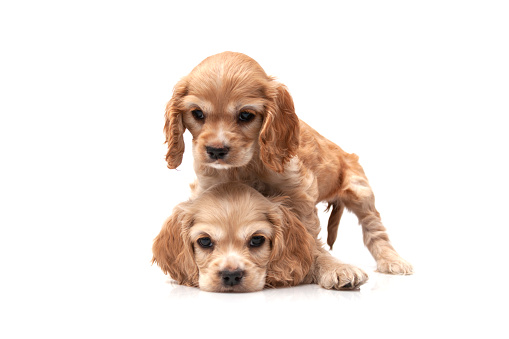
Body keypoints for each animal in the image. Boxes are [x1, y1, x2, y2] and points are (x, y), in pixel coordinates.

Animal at [165, 52, 410, 276]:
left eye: (245, 115)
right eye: (197, 113)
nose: (216, 150)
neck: (247, 166)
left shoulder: (298, 194)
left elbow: (309, 237)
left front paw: (331, 268)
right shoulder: (208, 188)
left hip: (360, 191)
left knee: (374, 228)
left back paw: (392, 260)